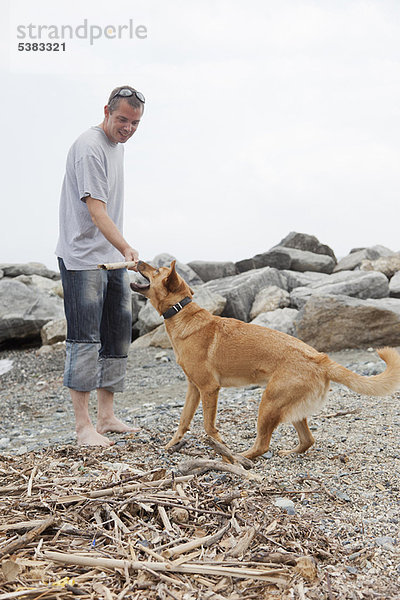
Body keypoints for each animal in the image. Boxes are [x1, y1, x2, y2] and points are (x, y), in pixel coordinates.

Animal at [130, 258, 400, 460]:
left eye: (156, 270)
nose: (138, 260)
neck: (182, 312)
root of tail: (320, 358)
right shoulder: (193, 389)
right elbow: (183, 421)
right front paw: (170, 445)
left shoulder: (209, 388)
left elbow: (208, 426)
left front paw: (218, 442)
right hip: (287, 407)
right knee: (307, 440)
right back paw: (287, 452)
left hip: (268, 403)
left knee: (263, 444)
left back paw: (239, 457)